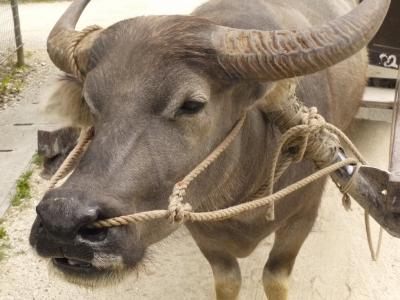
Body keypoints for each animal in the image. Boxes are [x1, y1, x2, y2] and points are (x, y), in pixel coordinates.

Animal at [28, 0, 390, 298]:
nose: (62, 222)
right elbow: (226, 281)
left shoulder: (301, 217)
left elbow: (275, 279)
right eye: (91, 102)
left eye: (192, 104)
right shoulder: (200, 228)